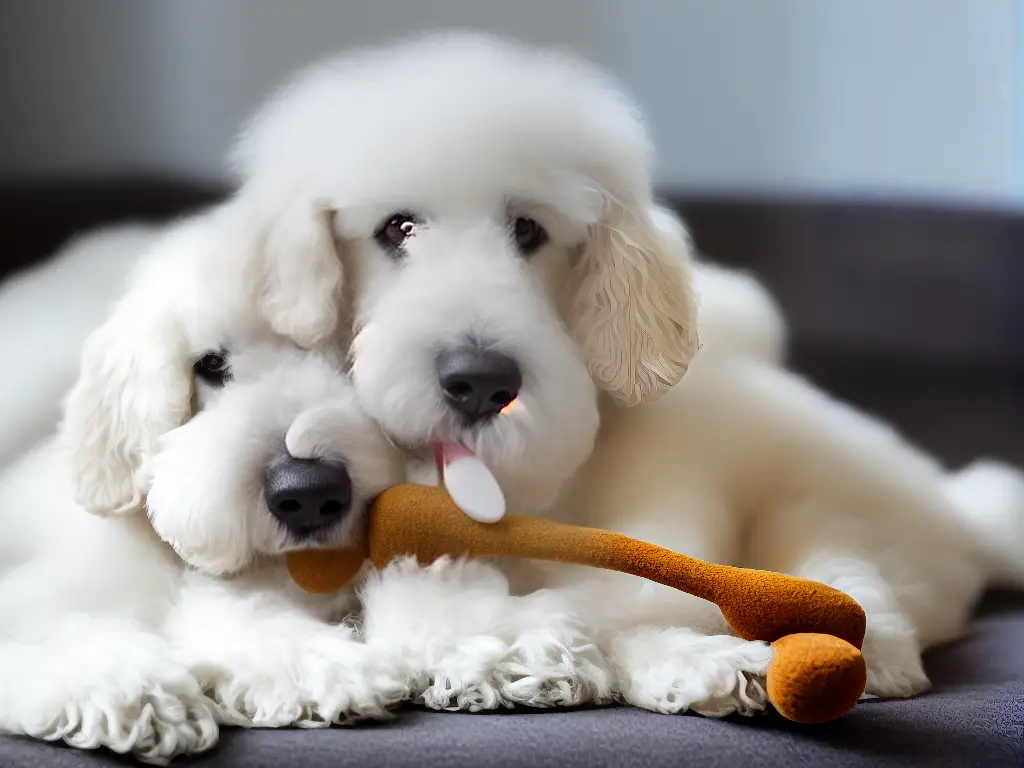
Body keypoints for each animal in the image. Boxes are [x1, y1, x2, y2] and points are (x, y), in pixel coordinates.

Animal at [232, 33, 1024, 720]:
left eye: (529, 231)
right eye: (395, 229)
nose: (481, 383)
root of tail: (958, 515)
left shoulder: (658, 512)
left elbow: (620, 592)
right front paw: (521, 653)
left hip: (819, 515)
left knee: (860, 586)